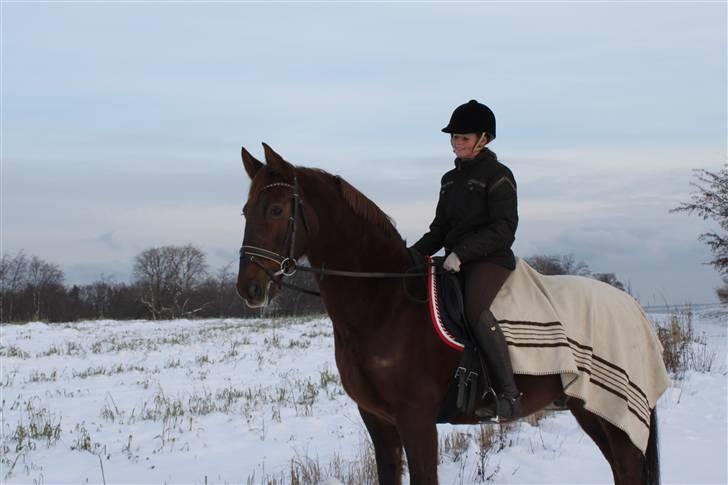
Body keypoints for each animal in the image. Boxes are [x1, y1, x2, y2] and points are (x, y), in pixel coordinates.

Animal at [235, 144, 660, 484]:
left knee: (627, 469)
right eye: (244, 211)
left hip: (613, 413)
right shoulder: (378, 421)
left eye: (276, 209)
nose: (248, 289)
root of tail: (632, 308)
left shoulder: (417, 421)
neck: (384, 305)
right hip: (591, 410)